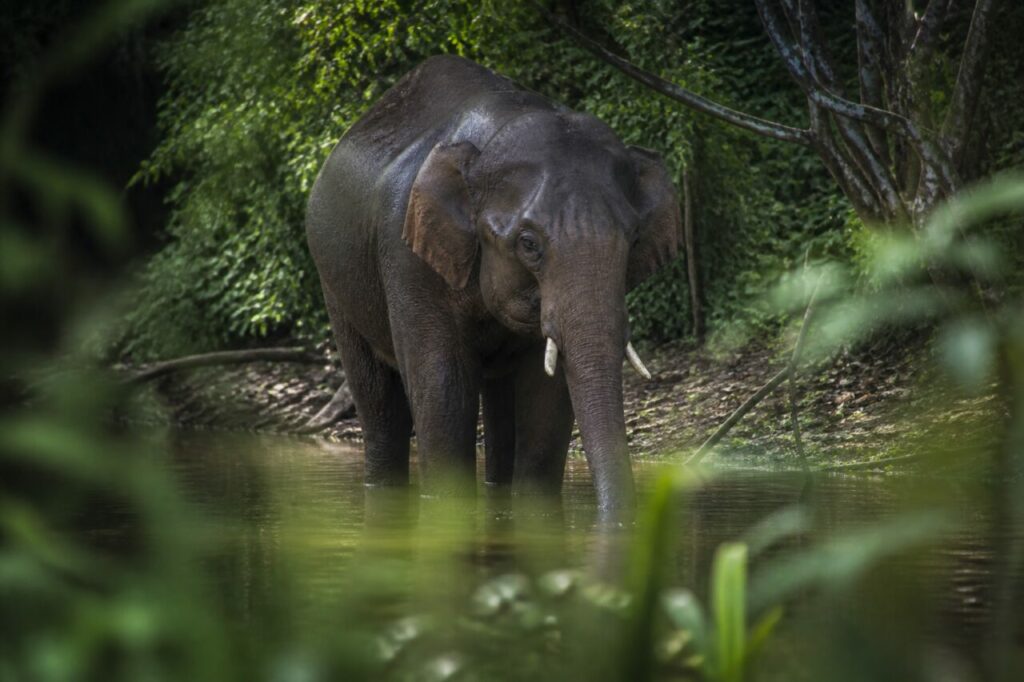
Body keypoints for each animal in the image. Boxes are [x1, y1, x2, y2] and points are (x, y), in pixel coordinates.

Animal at [305, 55, 680, 511]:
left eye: (633, 237)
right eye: (528, 243)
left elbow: (546, 393)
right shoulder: (407, 257)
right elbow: (442, 385)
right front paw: (446, 508)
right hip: (335, 283)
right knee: (381, 408)